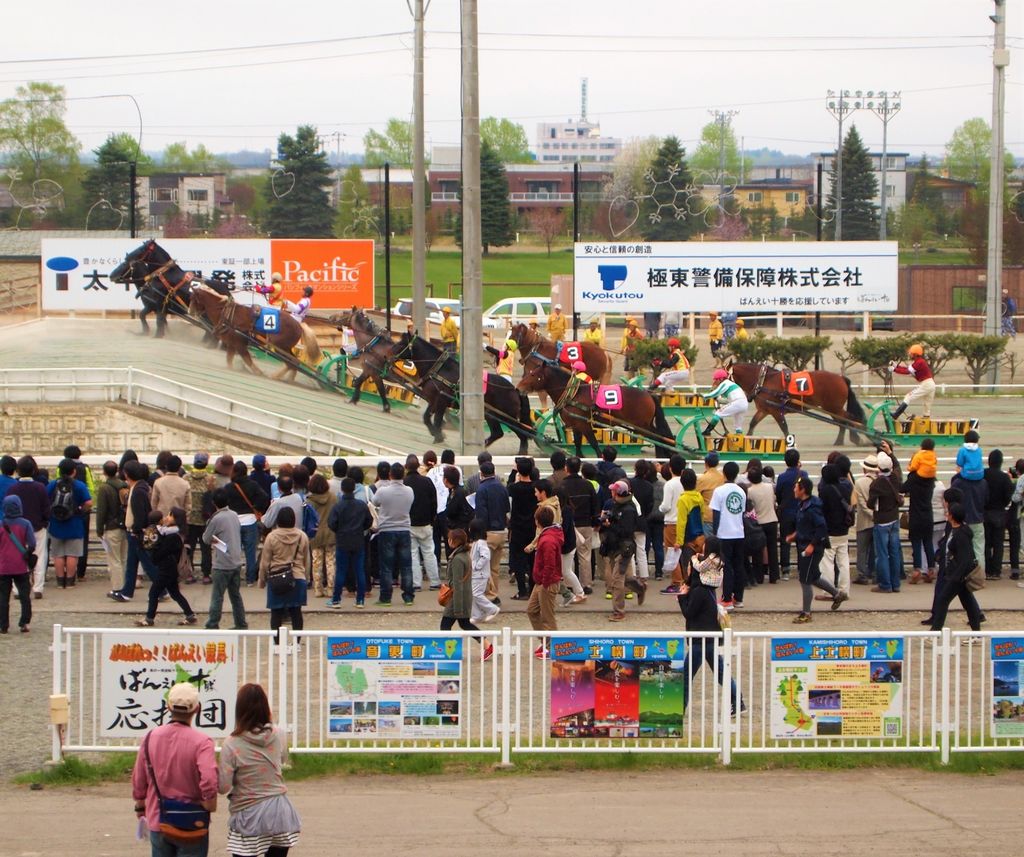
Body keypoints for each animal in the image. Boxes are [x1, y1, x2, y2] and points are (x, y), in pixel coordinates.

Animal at [188, 286, 321, 378]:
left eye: (193, 298)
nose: (190, 311)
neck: (228, 314)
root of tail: (299, 325)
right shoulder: (232, 344)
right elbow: (229, 359)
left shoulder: (239, 344)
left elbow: (247, 359)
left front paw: (258, 371)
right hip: (285, 348)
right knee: (294, 363)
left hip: (280, 346)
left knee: (292, 363)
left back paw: (277, 376)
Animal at [393, 327, 532, 450]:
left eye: (401, 343)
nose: (391, 352)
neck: (441, 370)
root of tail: (514, 389)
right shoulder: (433, 400)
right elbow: (426, 417)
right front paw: (437, 434)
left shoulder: (442, 400)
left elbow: (437, 420)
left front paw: (438, 436)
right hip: (491, 414)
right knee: (498, 433)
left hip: (507, 417)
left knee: (523, 434)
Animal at [520, 350, 671, 458]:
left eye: (533, 374)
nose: (519, 386)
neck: (574, 394)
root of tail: (648, 395)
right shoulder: (576, 425)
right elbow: (578, 444)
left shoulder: (584, 424)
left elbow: (594, 444)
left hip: (642, 425)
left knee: (658, 438)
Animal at [729, 360, 864, 444]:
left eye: (724, 373)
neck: (764, 380)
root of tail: (841, 378)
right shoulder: (765, 410)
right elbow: (753, 423)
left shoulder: (776, 411)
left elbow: (784, 427)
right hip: (831, 408)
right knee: (842, 422)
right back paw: (841, 441)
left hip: (833, 407)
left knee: (848, 419)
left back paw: (855, 438)